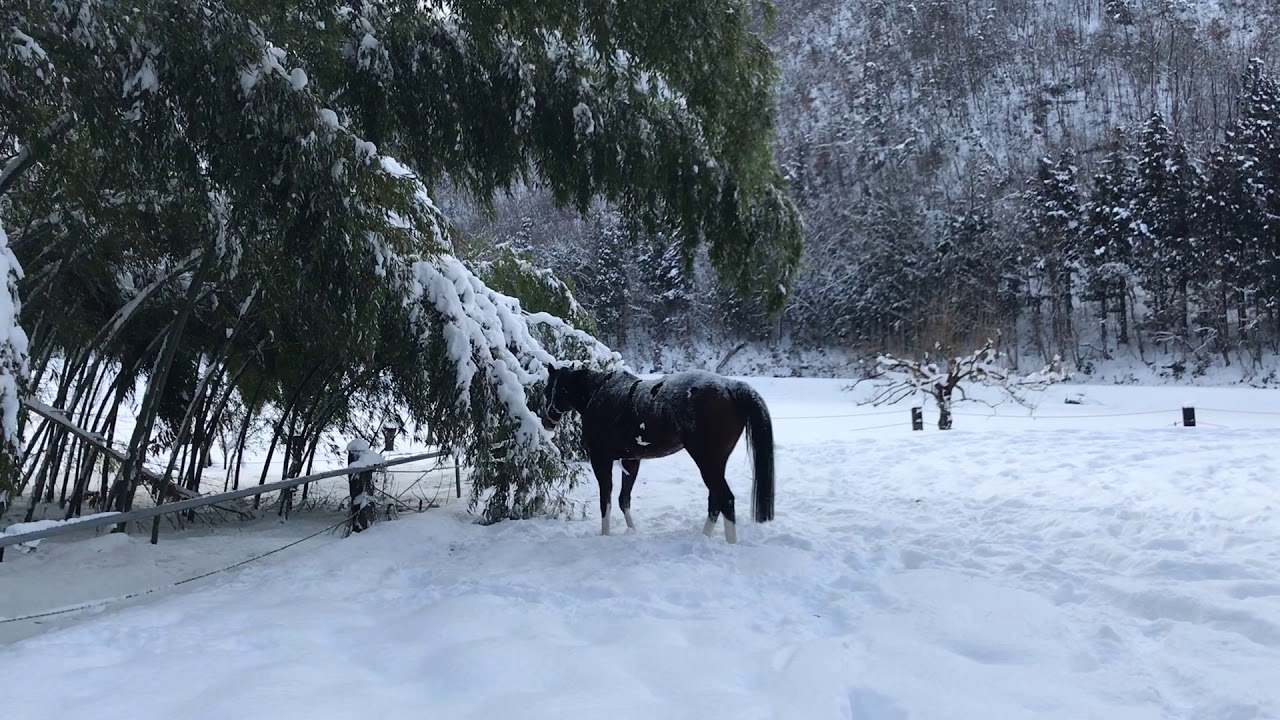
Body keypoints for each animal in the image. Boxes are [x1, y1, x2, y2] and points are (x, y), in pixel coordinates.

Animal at [540, 364, 775, 544]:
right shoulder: (631, 461)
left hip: (707, 462)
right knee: (716, 502)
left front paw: (605, 535)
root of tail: (730, 386)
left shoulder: (601, 460)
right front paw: (632, 531)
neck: (598, 394)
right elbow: (623, 500)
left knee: (726, 500)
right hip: (716, 464)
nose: (546, 422)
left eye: (552, 390)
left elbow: (605, 501)